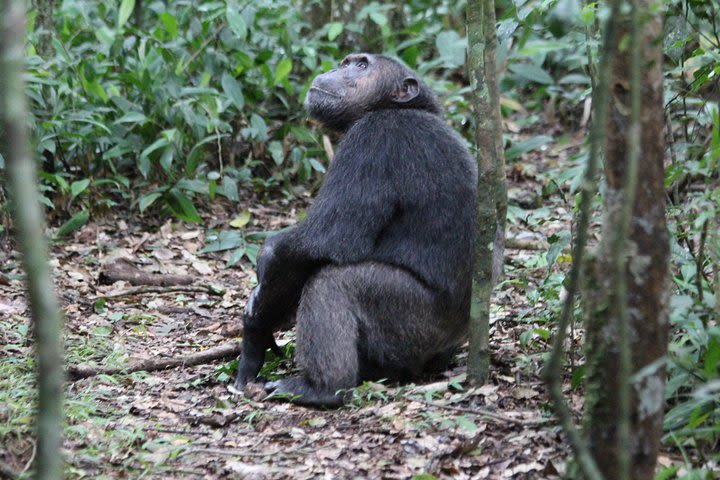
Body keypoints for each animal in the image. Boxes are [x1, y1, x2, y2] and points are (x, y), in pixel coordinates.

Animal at [232, 52, 478, 406]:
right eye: (346, 62)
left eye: (361, 66)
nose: (336, 68)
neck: (391, 108)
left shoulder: (372, 141)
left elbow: (324, 241)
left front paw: (255, 326)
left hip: (412, 327)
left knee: (333, 283)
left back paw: (321, 388)